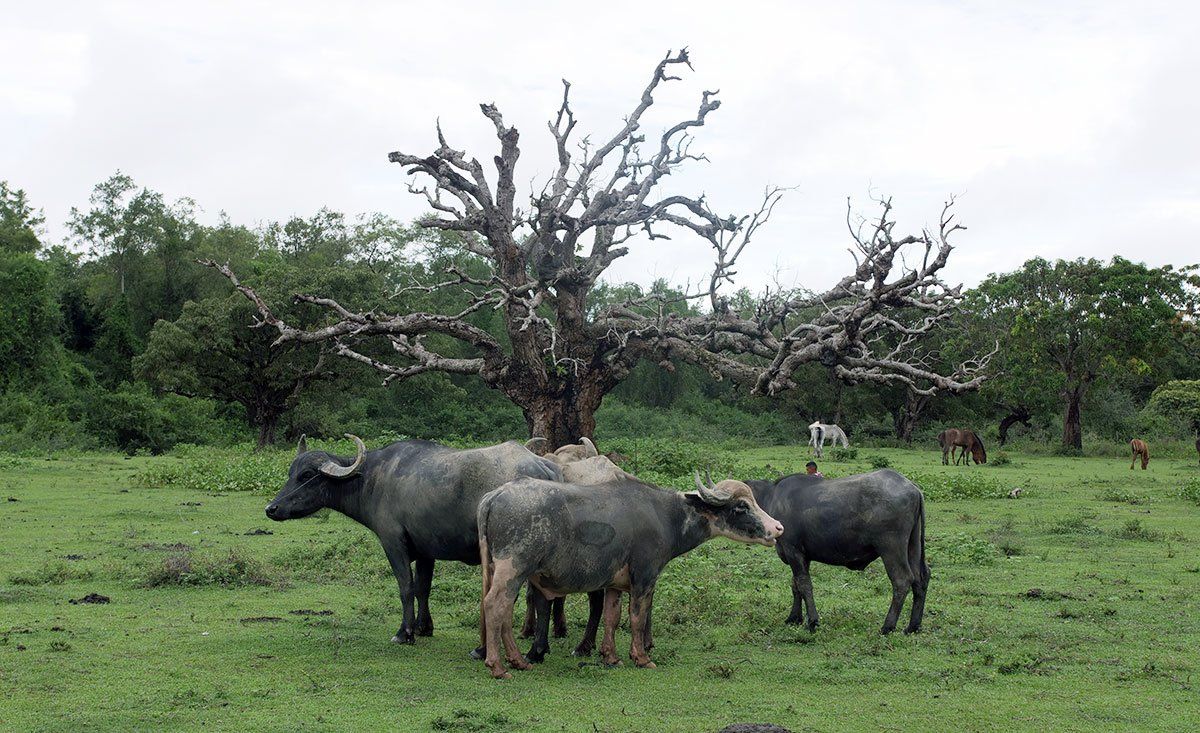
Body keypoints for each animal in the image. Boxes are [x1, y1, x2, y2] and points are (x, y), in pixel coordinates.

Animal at [266, 434, 561, 645]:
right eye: (290, 473)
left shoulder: (393, 543)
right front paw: (423, 627)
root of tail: (542, 466)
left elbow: (406, 587)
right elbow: (423, 588)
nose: (271, 508)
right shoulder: (426, 550)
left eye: (306, 476)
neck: (372, 479)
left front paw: (404, 632)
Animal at [476, 472, 784, 678]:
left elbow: (611, 618)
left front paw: (610, 657)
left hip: (499, 571)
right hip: (513, 568)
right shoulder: (644, 578)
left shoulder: (615, 584)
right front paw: (641, 657)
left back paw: (518, 660)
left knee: (503, 610)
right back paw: (498, 666)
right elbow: (637, 617)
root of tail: (495, 496)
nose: (778, 528)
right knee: (494, 605)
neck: (665, 515)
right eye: (742, 506)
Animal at [746, 469, 929, 634]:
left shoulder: (793, 551)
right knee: (920, 578)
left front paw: (812, 622)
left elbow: (804, 585)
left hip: (891, 548)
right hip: (913, 546)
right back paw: (913, 626)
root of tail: (913, 488)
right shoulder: (802, 557)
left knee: (902, 580)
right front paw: (794, 617)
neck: (770, 498)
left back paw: (887, 626)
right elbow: (795, 585)